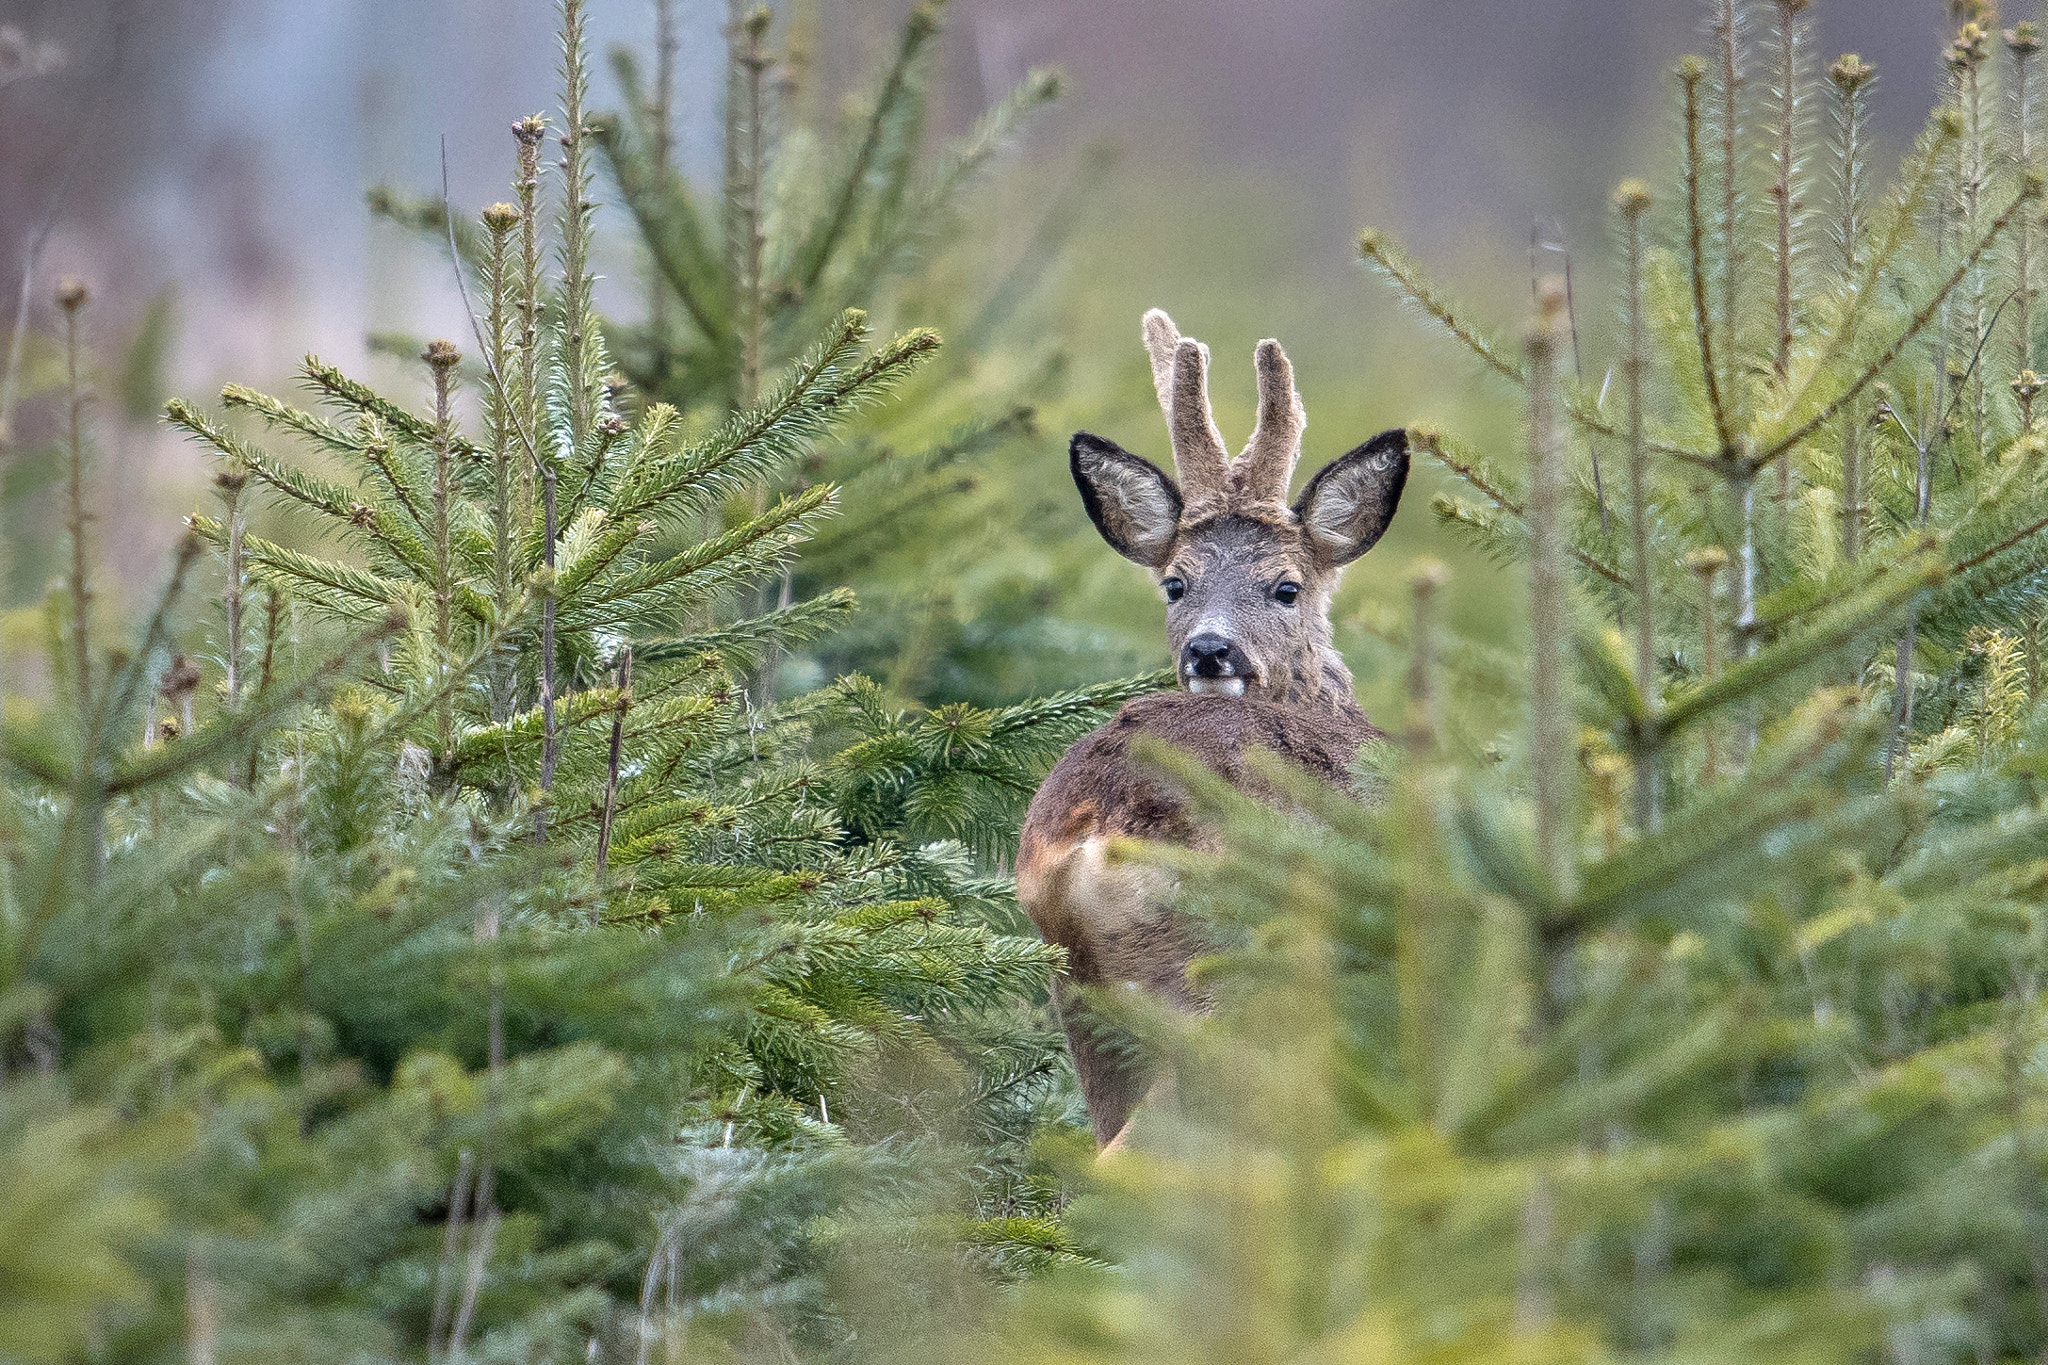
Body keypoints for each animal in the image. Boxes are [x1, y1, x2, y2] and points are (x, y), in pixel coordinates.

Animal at [1011, 313, 1400, 1154]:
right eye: (1176, 582)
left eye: (1285, 586)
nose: (1210, 649)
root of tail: (1096, 825)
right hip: (1220, 984)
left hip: (1080, 999)